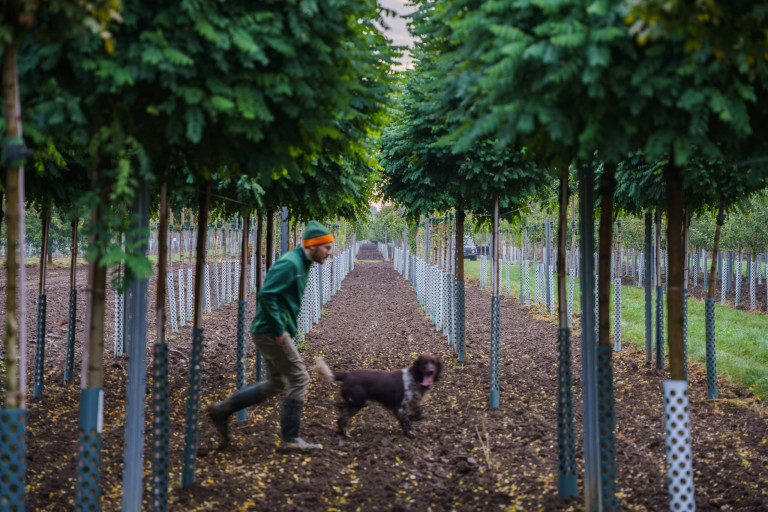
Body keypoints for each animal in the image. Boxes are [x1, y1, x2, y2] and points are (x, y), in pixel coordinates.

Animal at [314, 356, 444, 436]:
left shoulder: (412, 404)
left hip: (356, 406)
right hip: (361, 402)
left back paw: (345, 434)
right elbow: (407, 421)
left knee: (341, 420)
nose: (431, 371)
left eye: (434, 363)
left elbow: (419, 415)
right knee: (339, 405)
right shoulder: (400, 407)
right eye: (424, 363)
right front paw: (410, 432)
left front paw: (410, 423)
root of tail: (346, 375)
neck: (414, 378)